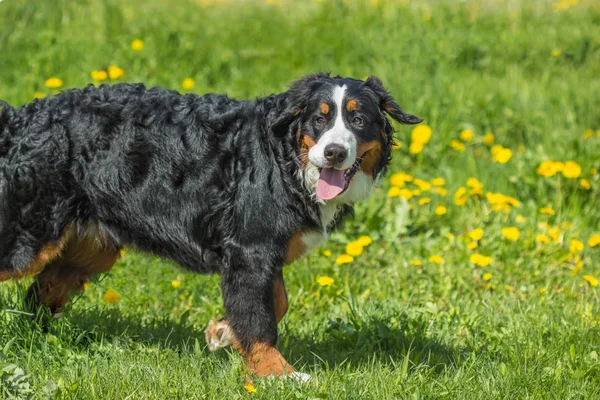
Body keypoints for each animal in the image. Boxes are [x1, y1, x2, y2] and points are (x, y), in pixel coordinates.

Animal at [0, 72, 422, 382]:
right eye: (320, 118)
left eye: (358, 119)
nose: (334, 151)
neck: (284, 158)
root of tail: (19, 118)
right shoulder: (250, 250)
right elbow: (259, 318)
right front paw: (277, 373)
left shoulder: (261, 251)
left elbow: (274, 302)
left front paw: (223, 332)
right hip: (28, 237)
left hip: (88, 250)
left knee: (40, 293)